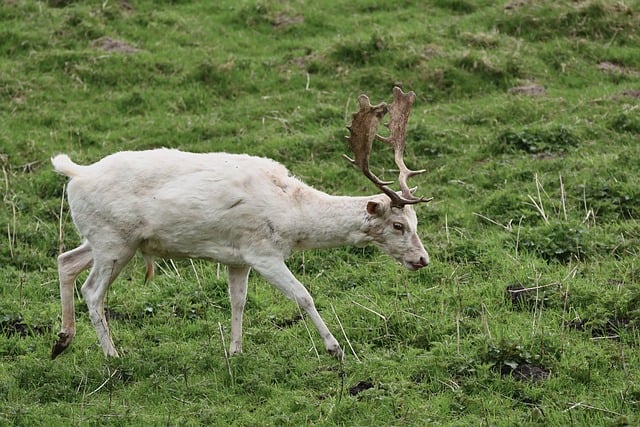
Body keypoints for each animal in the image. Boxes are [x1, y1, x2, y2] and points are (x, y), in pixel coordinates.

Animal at [50, 88, 430, 362]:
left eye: (416, 221)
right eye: (398, 225)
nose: (423, 259)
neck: (293, 216)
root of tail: (76, 174)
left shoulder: (238, 258)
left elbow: (238, 301)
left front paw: (235, 351)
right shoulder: (264, 253)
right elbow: (303, 296)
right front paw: (335, 348)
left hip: (103, 240)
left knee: (65, 260)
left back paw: (62, 340)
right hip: (114, 241)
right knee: (92, 291)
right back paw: (112, 355)